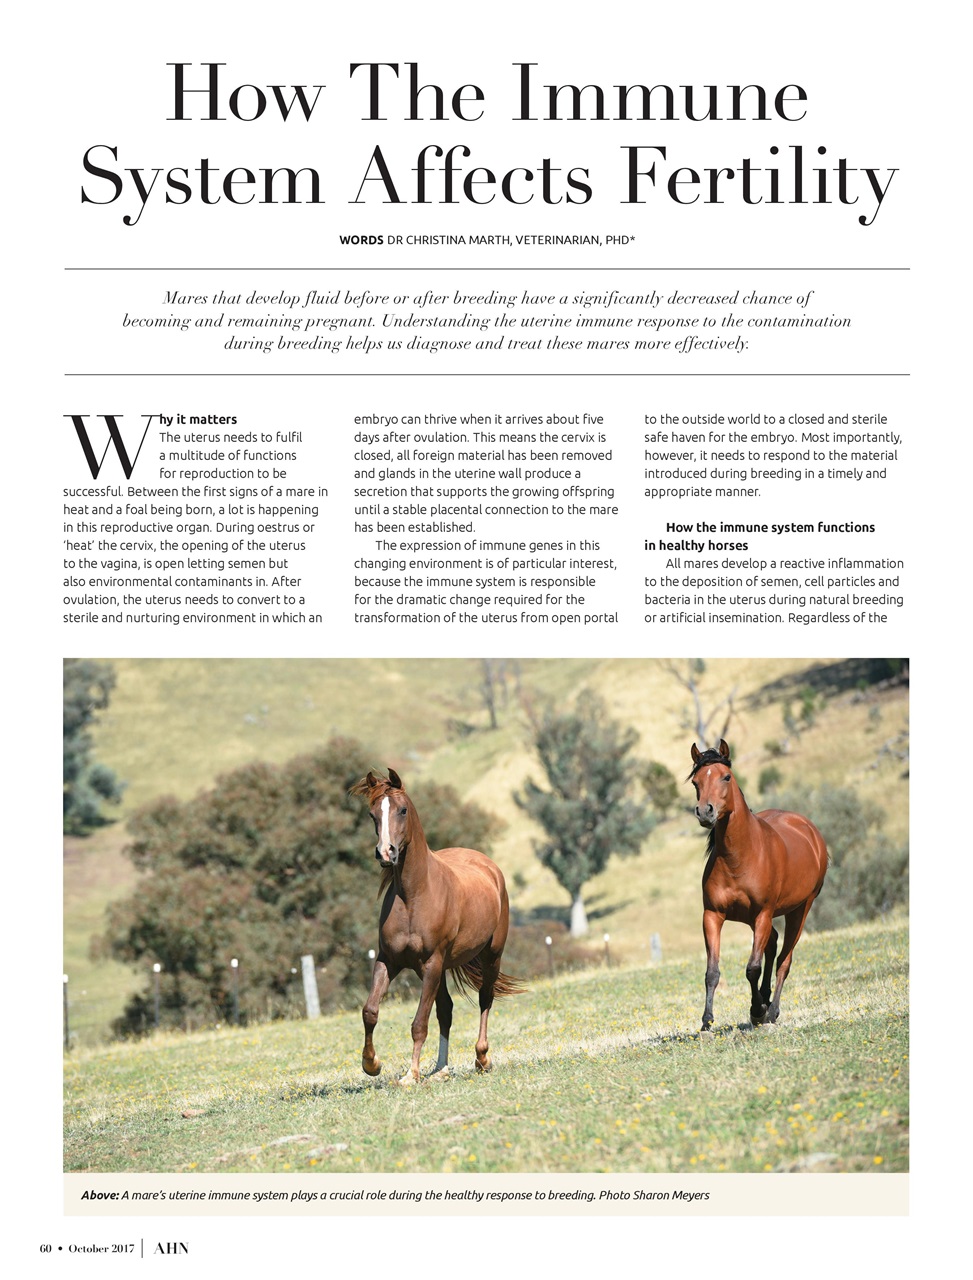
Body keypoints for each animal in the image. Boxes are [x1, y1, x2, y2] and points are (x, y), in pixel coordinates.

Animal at [350, 768, 522, 1083]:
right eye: (372, 814)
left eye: (402, 810)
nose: (386, 853)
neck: (414, 896)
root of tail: (488, 865)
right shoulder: (389, 960)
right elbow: (370, 1011)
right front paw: (372, 1064)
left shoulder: (431, 963)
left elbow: (419, 1022)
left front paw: (411, 1075)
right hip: (439, 969)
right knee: (446, 1010)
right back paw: (441, 1069)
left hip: (490, 956)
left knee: (485, 999)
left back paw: (482, 1058)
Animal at [689, 740, 828, 1031]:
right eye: (696, 781)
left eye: (726, 777)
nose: (705, 812)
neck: (739, 857)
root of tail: (811, 831)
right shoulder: (713, 916)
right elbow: (712, 972)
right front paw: (707, 1021)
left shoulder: (763, 913)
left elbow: (753, 967)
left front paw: (756, 1011)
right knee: (773, 944)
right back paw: (765, 999)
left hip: (799, 910)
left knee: (784, 960)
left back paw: (771, 1010)